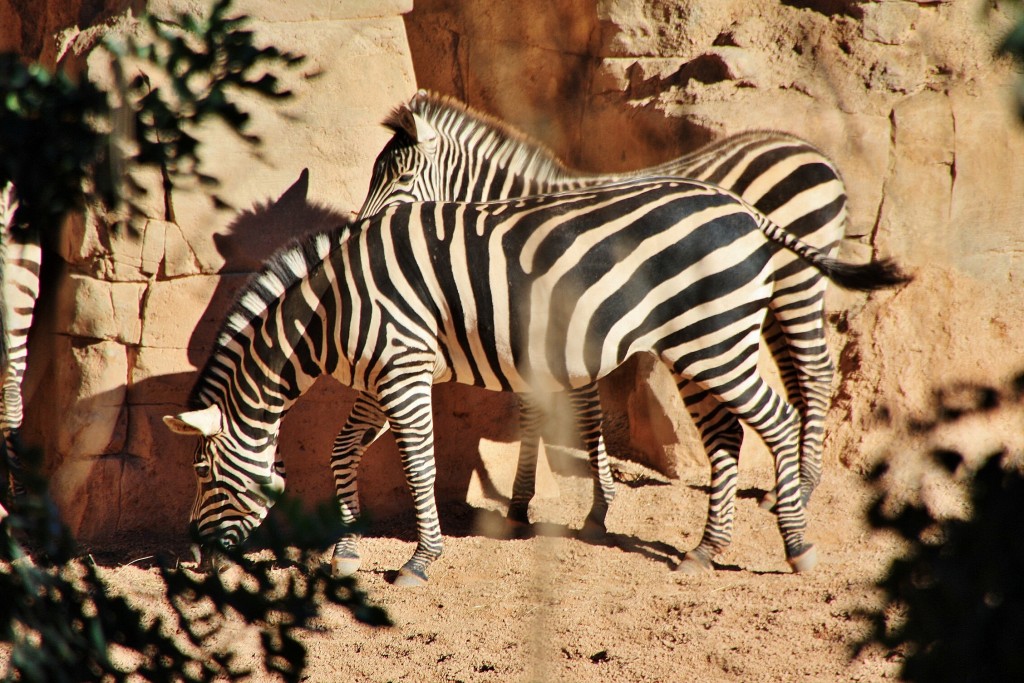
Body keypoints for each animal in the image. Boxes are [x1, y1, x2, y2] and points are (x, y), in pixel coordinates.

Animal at [159, 178, 905, 589]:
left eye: (202, 472)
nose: (193, 559)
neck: (329, 310)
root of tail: (745, 210)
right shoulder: (380, 375)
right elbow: (343, 451)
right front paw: (345, 545)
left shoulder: (403, 366)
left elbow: (420, 465)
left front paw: (419, 560)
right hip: (696, 343)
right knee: (725, 438)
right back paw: (704, 551)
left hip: (717, 337)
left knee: (777, 420)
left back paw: (797, 544)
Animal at [327, 88, 847, 573]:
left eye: (401, 178)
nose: (359, 238)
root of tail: (811, 151)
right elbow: (537, 411)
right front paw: (525, 504)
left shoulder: (564, 325)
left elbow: (584, 413)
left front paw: (594, 509)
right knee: (791, 381)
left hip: (794, 284)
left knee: (815, 373)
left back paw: (801, 491)